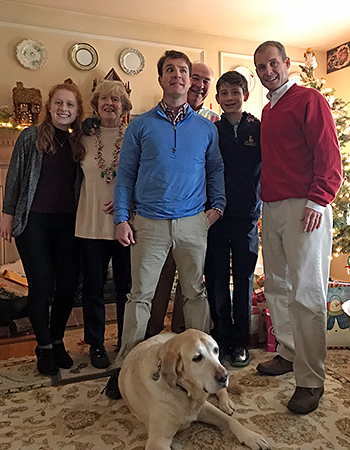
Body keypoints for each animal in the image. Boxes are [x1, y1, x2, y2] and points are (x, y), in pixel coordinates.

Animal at [119, 326, 270, 450]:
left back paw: (226, 403)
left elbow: (232, 421)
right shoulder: (157, 441)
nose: (224, 377)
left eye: (216, 350)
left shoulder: (204, 407)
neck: (182, 390)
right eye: (197, 358)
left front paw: (252, 437)